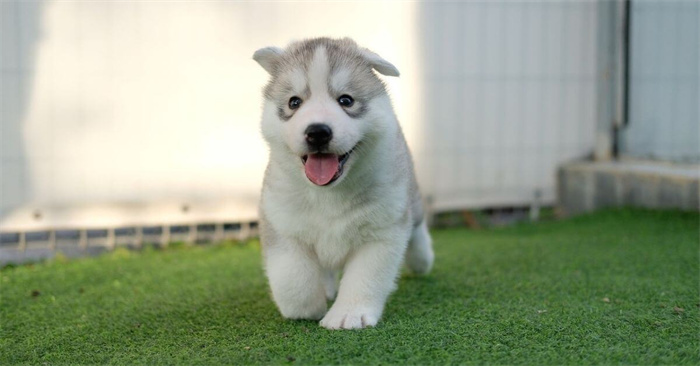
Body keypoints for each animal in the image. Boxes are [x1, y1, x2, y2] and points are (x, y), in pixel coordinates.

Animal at [254, 37, 432, 328]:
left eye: (346, 100)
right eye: (294, 102)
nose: (317, 132)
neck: (329, 194)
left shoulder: (382, 230)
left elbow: (365, 277)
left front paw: (349, 314)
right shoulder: (283, 223)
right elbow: (292, 278)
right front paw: (307, 308)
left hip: (410, 201)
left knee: (417, 228)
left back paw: (422, 260)